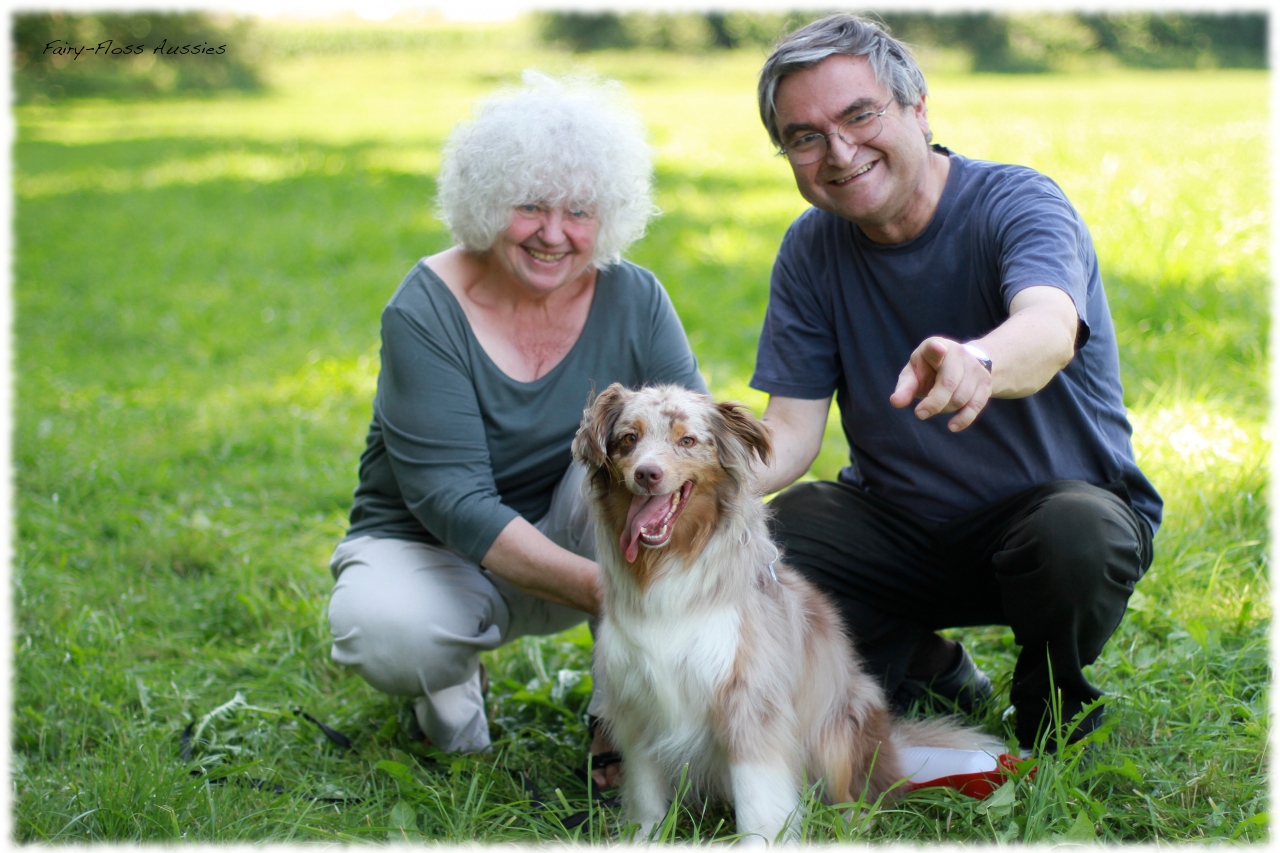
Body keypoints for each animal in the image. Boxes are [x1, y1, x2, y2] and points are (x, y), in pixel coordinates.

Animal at [570, 386, 998, 845]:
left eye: (687, 440)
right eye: (628, 439)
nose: (647, 474)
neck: (668, 564)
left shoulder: (749, 701)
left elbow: (758, 798)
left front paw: (762, 840)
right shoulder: (638, 700)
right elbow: (646, 792)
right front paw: (643, 837)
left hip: (842, 721)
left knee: (858, 791)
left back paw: (853, 823)